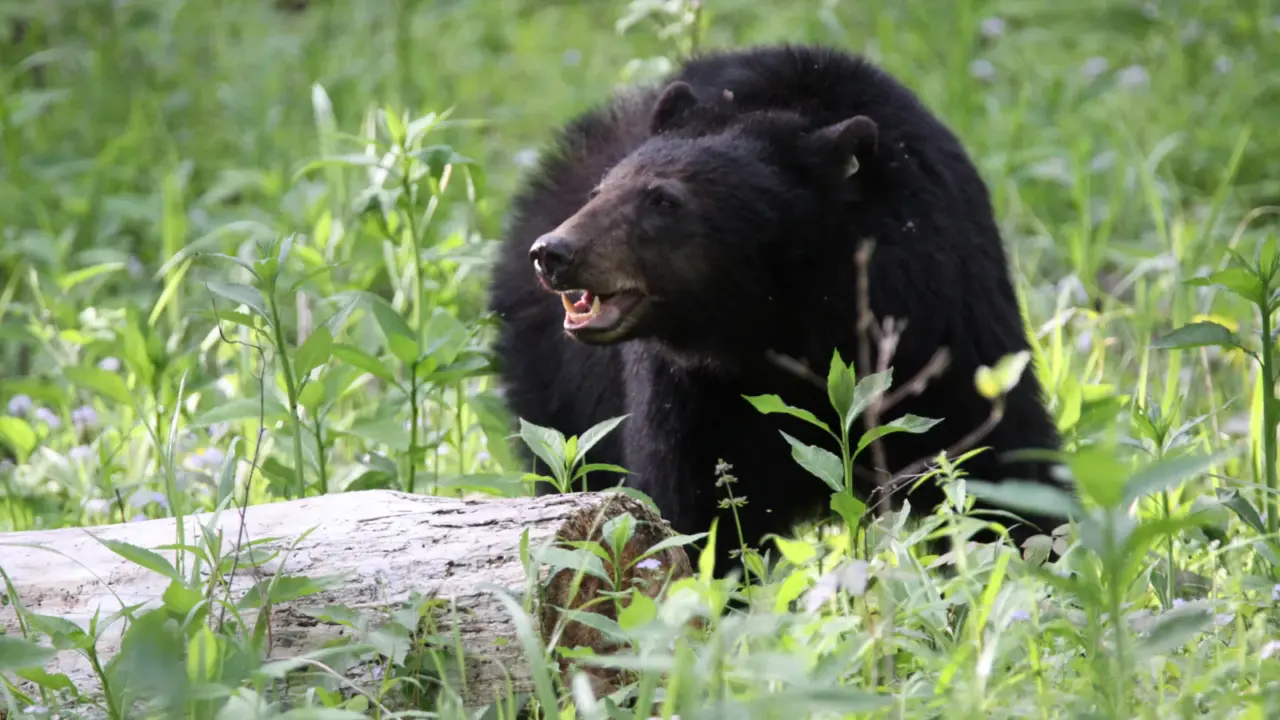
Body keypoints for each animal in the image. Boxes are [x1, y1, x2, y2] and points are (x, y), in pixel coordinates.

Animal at [487, 44, 1065, 574]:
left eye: (664, 200)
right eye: (602, 189)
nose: (554, 253)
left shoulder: (944, 323)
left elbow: (1002, 464)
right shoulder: (691, 392)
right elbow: (691, 505)